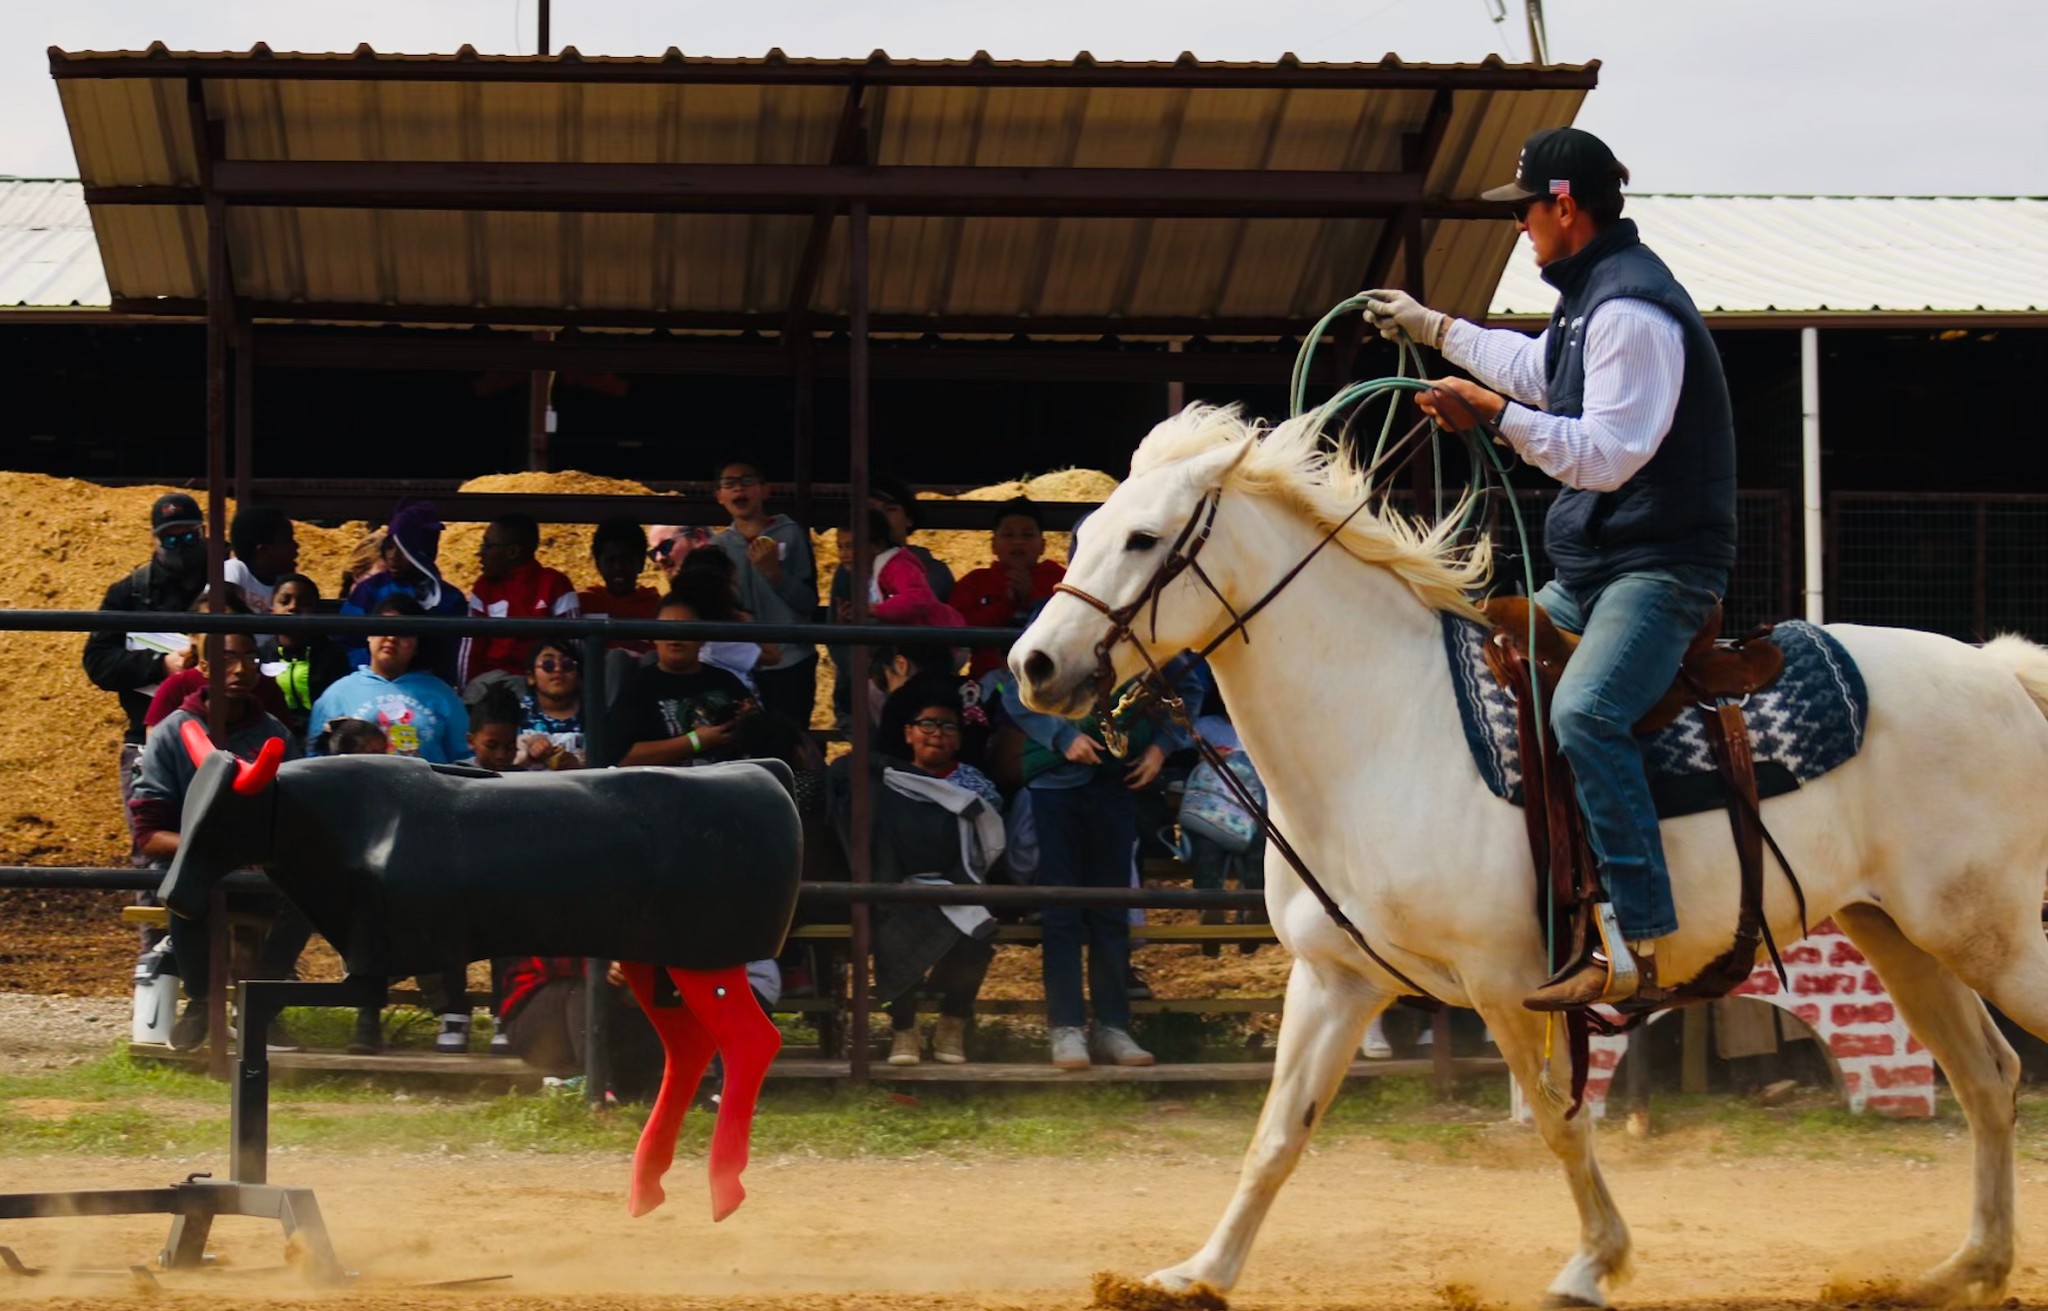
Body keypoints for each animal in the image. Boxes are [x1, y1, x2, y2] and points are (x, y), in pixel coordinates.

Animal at [1011, 403, 2048, 1307]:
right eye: (1089, 528)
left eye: (1144, 539)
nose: (1033, 666)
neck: (1384, 723)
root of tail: (1998, 671)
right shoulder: (1335, 976)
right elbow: (1277, 1136)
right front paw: (1196, 1273)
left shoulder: (1509, 982)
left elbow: (1559, 1118)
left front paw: (1594, 1264)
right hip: (1902, 935)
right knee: (1988, 1076)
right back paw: (1966, 1268)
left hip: (1990, 935)